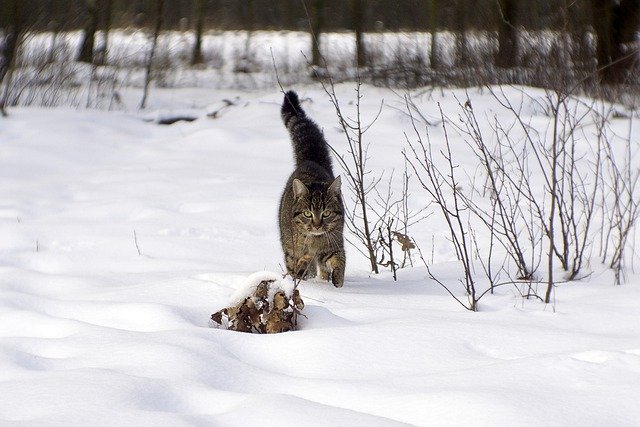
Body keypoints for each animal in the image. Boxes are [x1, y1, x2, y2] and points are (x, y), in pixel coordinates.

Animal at [276, 90, 342, 288]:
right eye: (307, 213)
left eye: (327, 213)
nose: (317, 225)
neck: (315, 240)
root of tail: (310, 160)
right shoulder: (295, 252)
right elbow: (297, 269)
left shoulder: (334, 243)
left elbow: (339, 260)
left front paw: (338, 280)